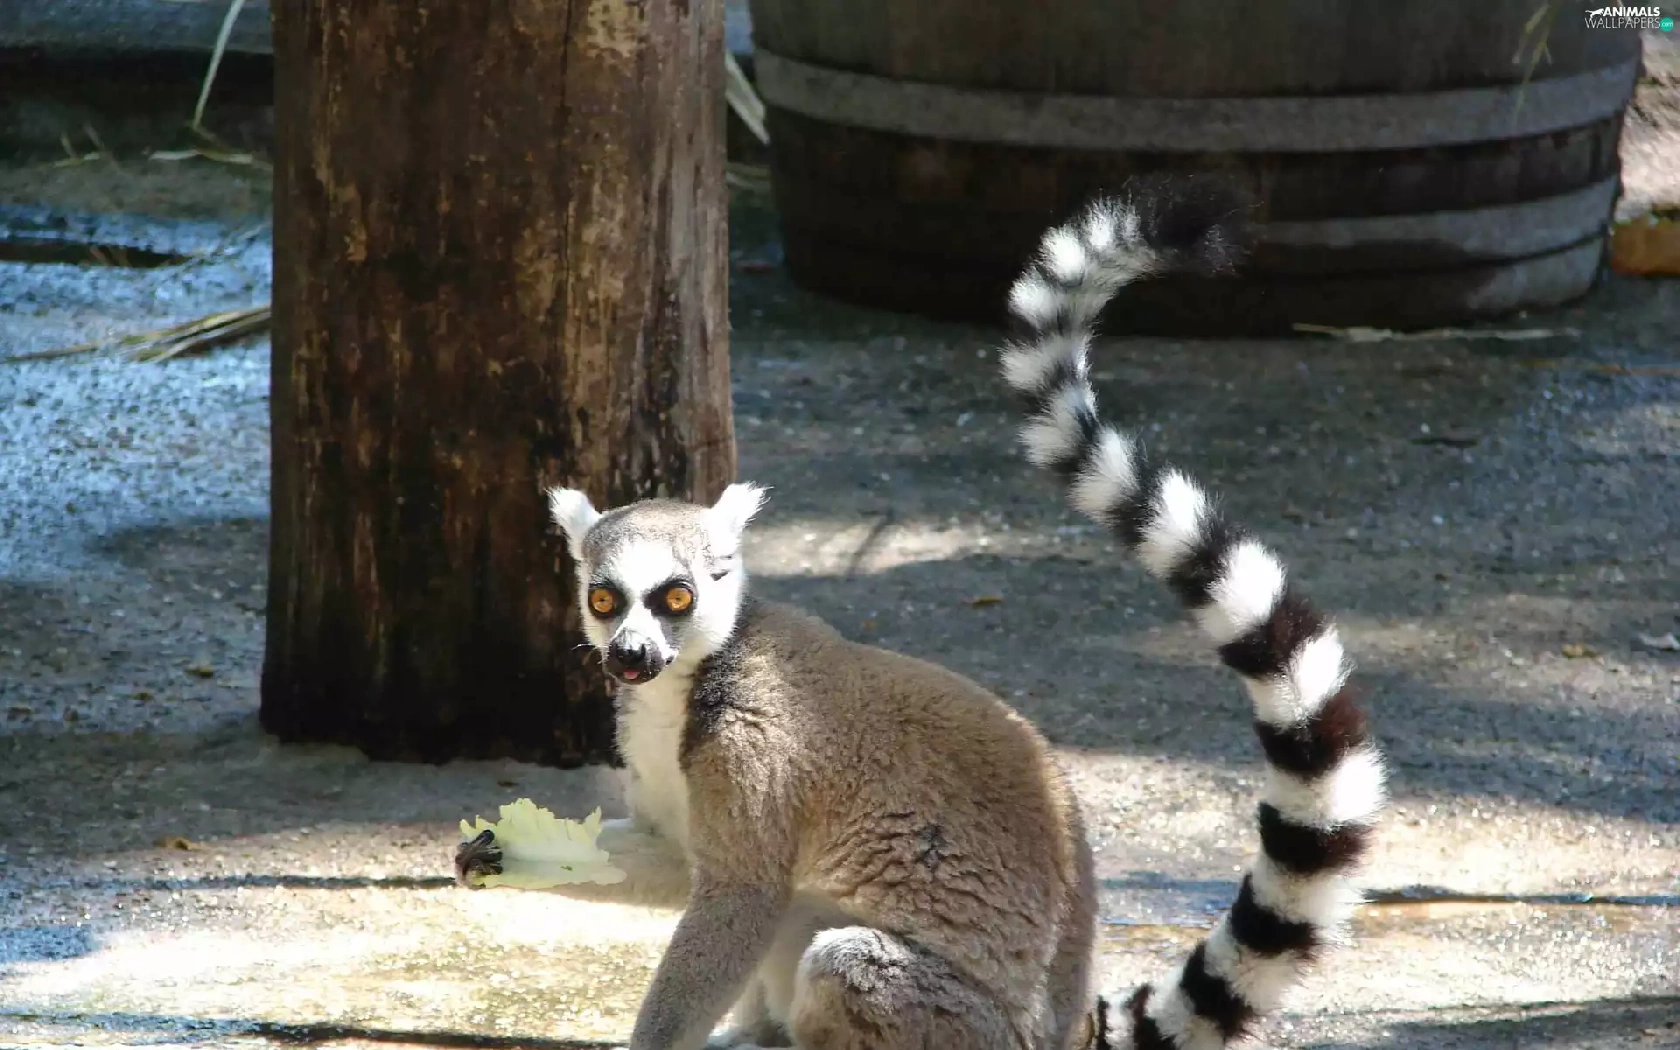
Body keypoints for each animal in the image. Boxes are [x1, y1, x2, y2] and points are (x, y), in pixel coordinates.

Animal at [455, 188, 1387, 1050]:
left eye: (677, 596)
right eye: (605, 598)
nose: (631, 655)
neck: (692, 681)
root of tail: (1061, 1028)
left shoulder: (754, 749)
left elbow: (740, 894)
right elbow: (681, 862)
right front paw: (496, 851)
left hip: (960, 1026)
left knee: (838, 957)